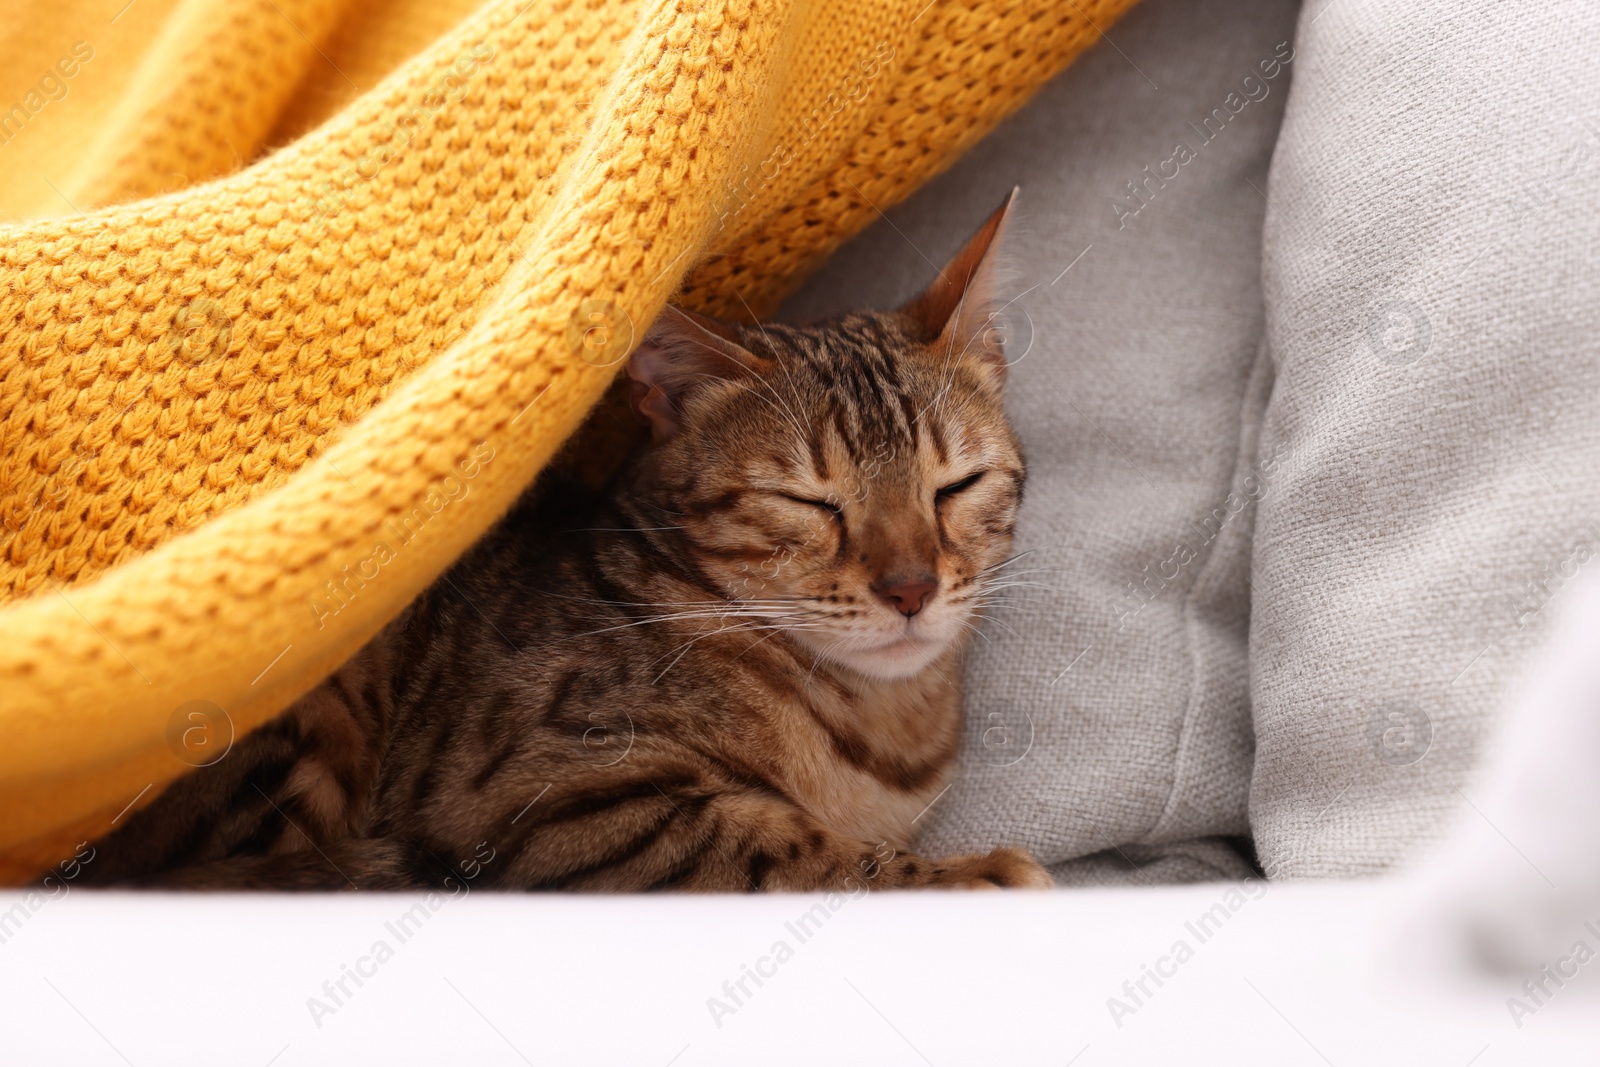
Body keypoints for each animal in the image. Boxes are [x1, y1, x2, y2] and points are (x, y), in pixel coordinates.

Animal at [81, 189, 1049, 895]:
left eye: (954, 485)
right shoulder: (543, 794)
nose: (911, 586)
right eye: (808, 501)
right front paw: (967, 876)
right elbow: (784, 848)